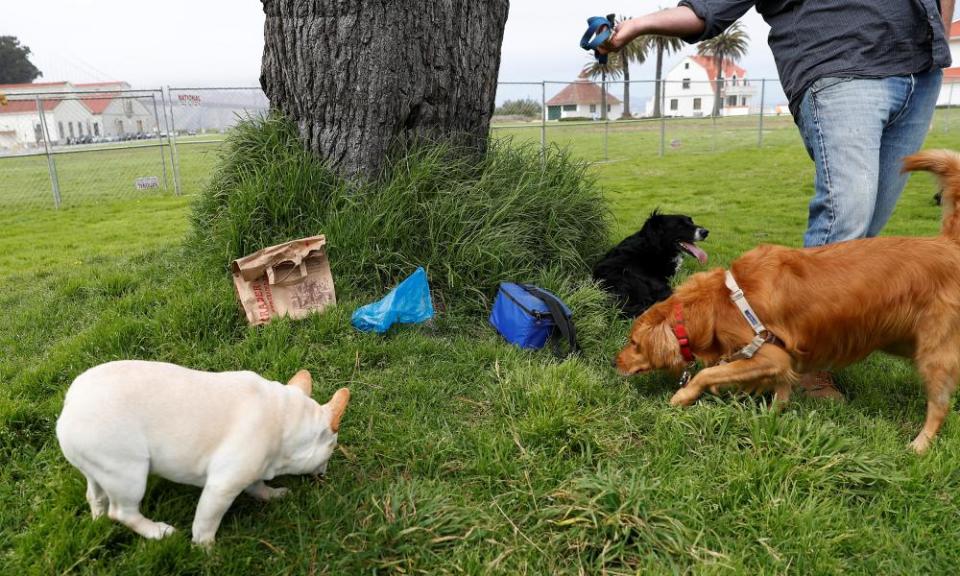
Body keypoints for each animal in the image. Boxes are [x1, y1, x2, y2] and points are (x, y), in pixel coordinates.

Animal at [56, 362, 348, 548]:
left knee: (95, 494)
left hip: (99, 468)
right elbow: (206, 521)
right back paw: (158, 532)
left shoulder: (253, 470)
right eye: (331, 449)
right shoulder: (222, 486)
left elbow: (257, 486)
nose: (324, 472)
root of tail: (70, 403)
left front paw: (272, 494)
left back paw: (98, 520)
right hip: (127, 473)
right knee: (123, 512)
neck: (286, 417)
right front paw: (206, 549)